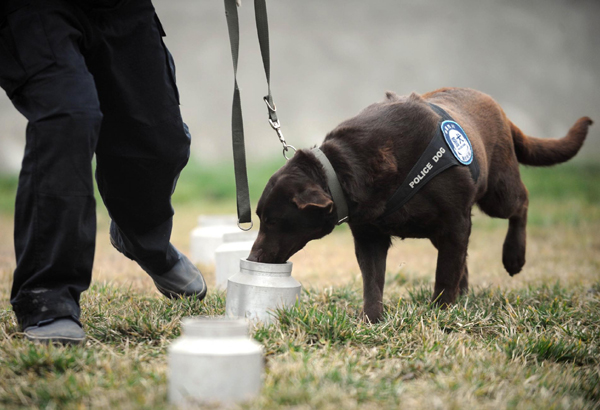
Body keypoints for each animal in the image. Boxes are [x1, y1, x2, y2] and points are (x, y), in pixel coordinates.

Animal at [247, 88, 592, 322]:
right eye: (260, 219)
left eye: (273, 222)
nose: (254, 257)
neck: (345, 166)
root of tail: (499, 109)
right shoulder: (369, 234)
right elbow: (373, 279)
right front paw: (371, 318)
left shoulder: (454, 222)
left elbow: (445, 272)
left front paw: (442, 311)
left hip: (498, 192)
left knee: (521, 202)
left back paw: (513, 256)